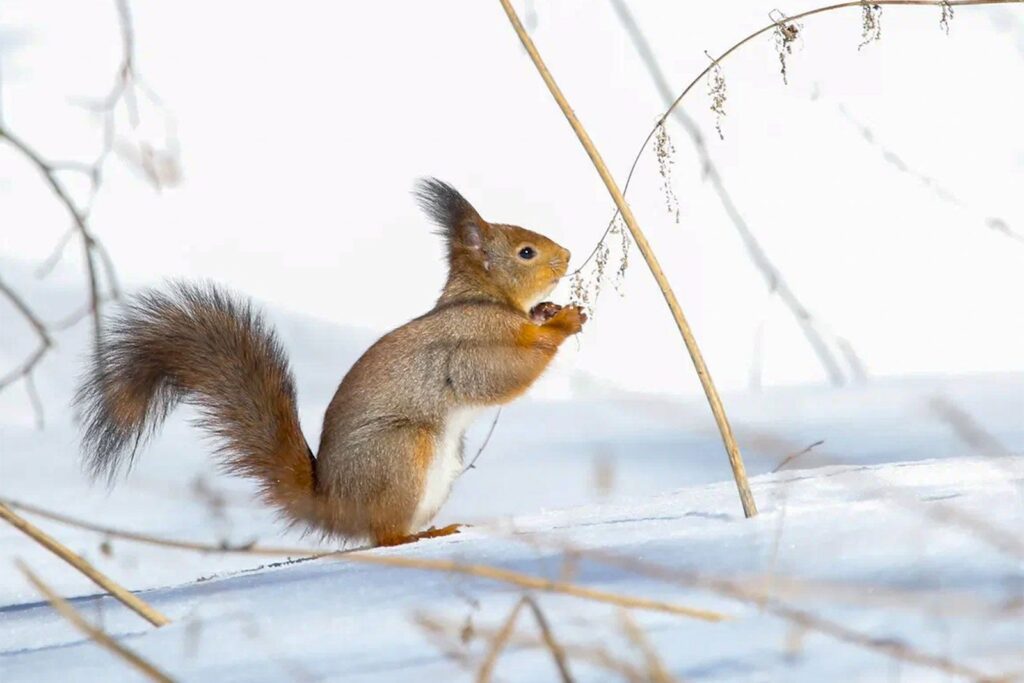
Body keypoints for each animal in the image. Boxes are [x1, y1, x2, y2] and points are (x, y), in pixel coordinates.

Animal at [75, 178, 586, 547]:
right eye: (526, 252)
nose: (567, 254)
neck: (486, 298)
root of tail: (334, 506)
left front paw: (548, 311)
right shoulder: (471, 342)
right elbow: (499, 375)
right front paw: (562, 323)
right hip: (402, 452)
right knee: (383, 536)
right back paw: (415, 537)